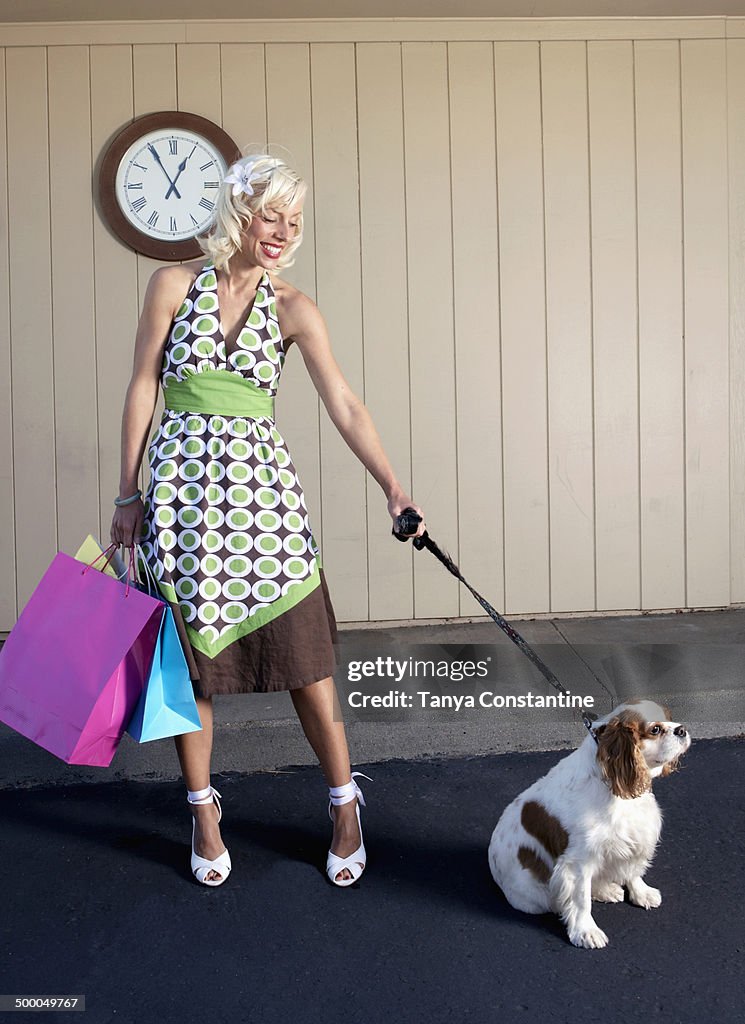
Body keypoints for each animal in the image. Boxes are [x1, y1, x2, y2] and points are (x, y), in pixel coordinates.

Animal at [489, 700, 691, 946]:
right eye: (655, 729)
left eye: (670, 718)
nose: (682, 729)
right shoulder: (578, 862)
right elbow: (580, 899)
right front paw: (586, 931)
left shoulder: (635, 836)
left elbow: (633, 870)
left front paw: (642, 893)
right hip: (535, 896)